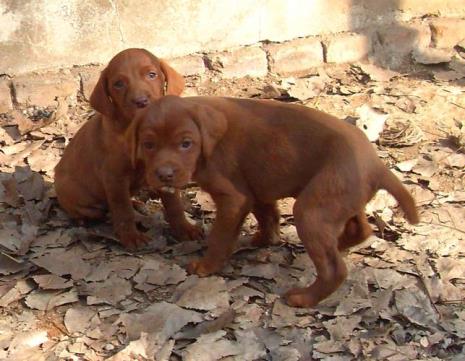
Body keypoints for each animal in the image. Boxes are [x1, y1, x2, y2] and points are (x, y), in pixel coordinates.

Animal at [54, 49, 199, 249]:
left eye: (151, 74)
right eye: (119, 84)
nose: (141, 101)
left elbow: (174, 204)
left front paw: (184, 229)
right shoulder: (114, 177)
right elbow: (122, 210)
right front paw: (131, 236)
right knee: (95, 211)